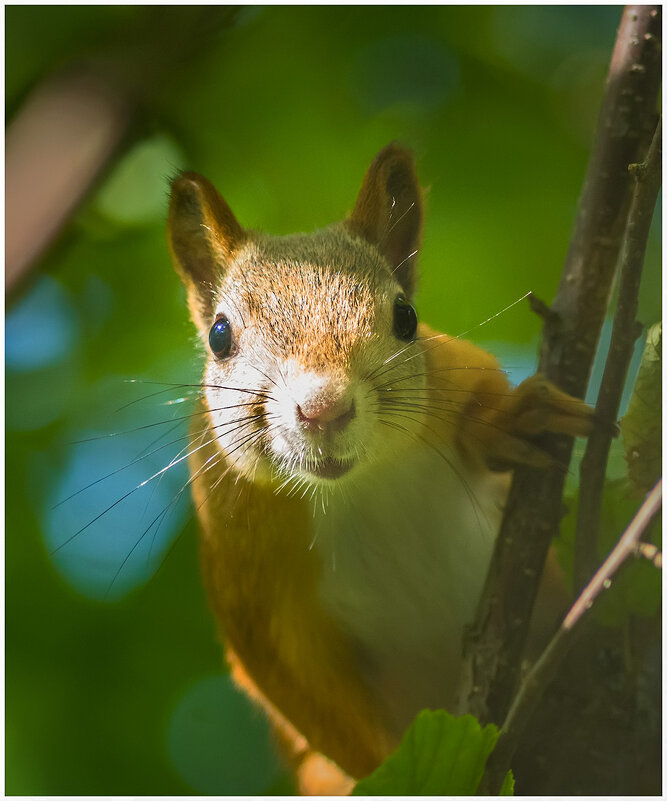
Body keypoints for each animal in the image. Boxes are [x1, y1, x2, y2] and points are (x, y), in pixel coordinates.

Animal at [167, 145, 596, 792]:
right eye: (219, 336)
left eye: (407, 316)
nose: (324, 407)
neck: (360, 488)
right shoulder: (250, 594)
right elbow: (323, 715)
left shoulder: (451, 367)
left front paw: (513, 419)